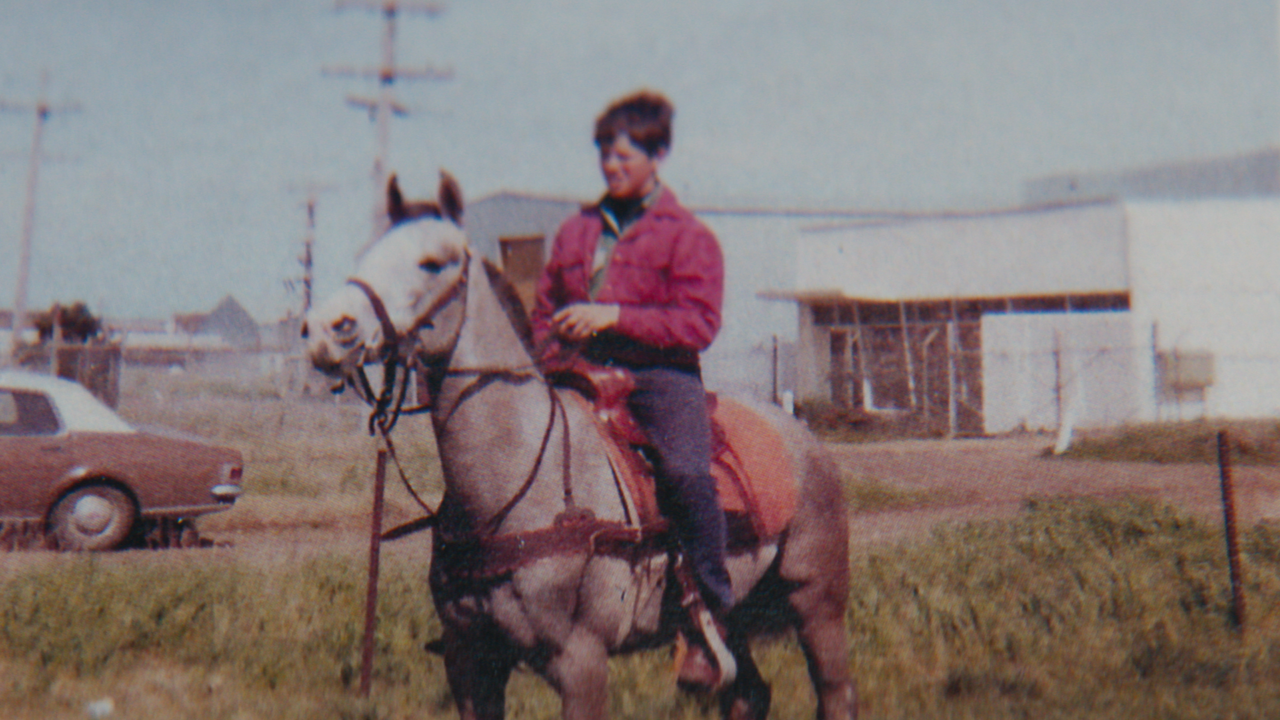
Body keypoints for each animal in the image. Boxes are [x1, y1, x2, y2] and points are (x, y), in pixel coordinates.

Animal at [304, 174, 855, 717]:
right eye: (365, 253)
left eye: (431, 262)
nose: (327, 330)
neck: (513, 483)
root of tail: (805, 439)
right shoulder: (469, 662)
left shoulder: (580, 661)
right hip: (742, 618)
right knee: (748, 693)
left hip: (818, 605)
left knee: (835, 692)